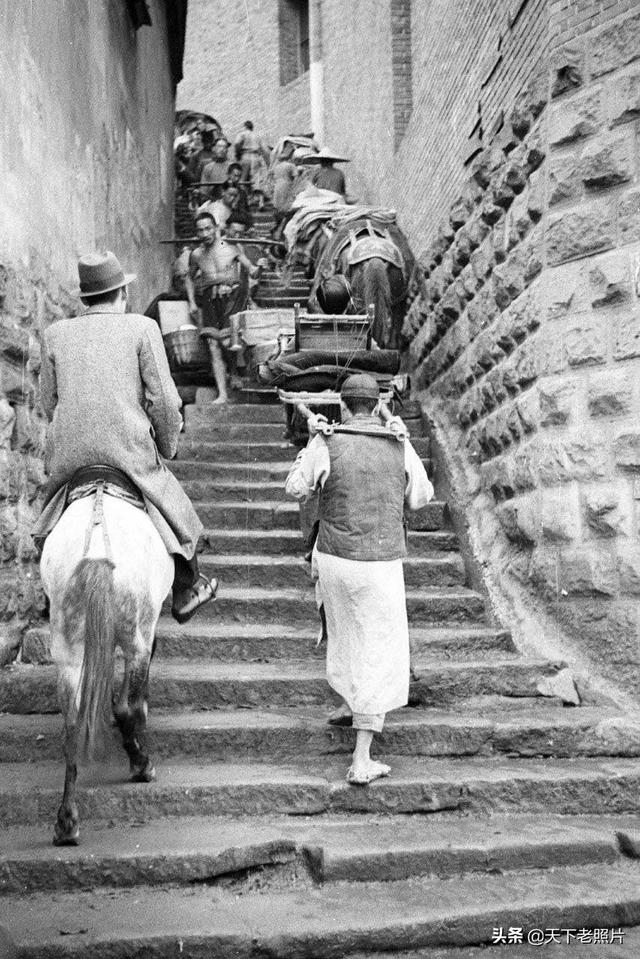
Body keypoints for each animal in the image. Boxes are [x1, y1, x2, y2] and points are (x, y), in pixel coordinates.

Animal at [40, 479, 173, 845]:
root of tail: (97, 553)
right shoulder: (145, 629)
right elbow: (133, 693)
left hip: (69, 648)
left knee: (72, 726)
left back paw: (67, 823)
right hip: (134, 630)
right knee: (128, 704)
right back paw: (142, 764)